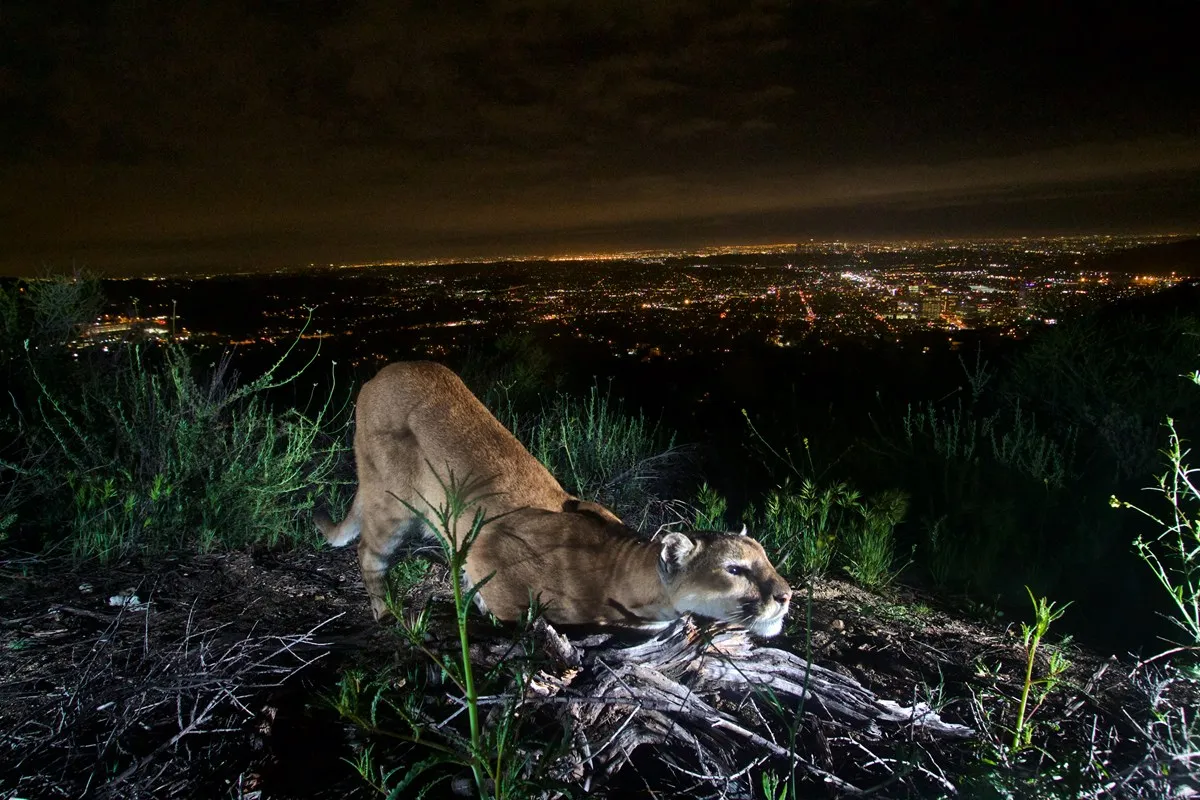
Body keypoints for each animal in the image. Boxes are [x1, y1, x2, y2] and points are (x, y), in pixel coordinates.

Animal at [315, 361, 792, 636]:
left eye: (767, 560)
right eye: (734, 569)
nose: (786, 595)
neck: (623, 571)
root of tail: (381, 373)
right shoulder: (491, 549)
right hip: (392, 503)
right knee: (369, 554)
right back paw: (388, 615)